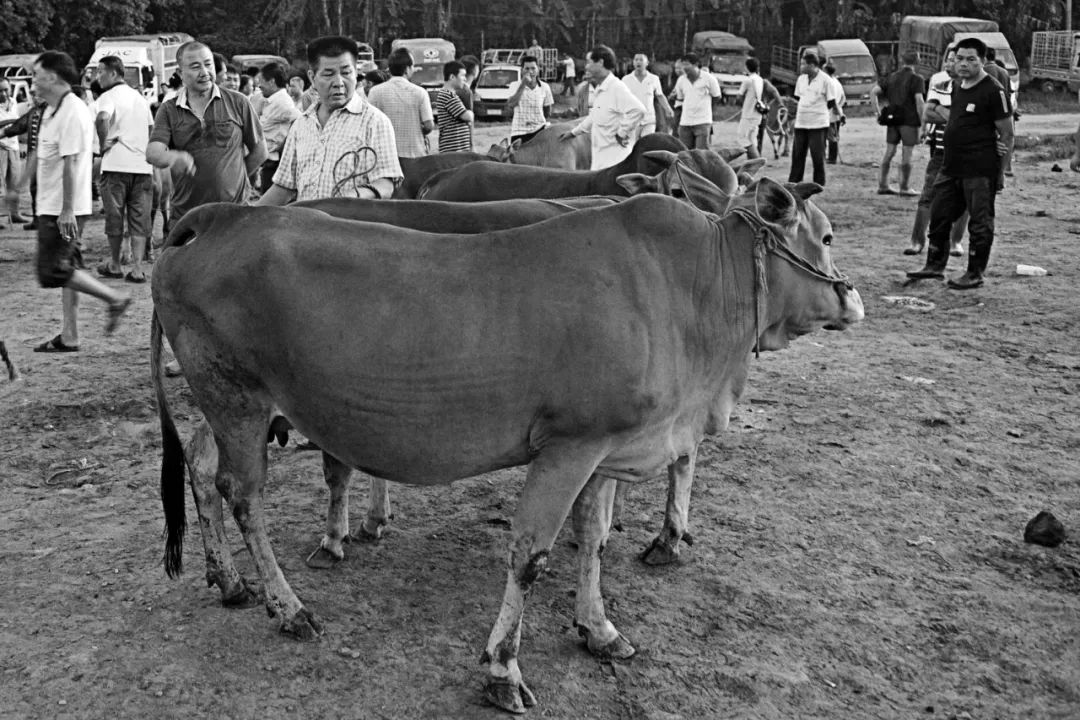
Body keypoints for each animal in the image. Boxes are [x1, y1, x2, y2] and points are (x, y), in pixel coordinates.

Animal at [154, 181, 859, 716]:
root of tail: (219, 215)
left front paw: (599, 628)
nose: (852, 296)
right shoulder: (569, 447)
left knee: (203, 467)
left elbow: (594, 538)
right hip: (238, 399)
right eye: (825, 238)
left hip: (230, 406)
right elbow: (530, 556)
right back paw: (288, 606)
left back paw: (228, 580)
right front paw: (502, 669)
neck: (689, 289)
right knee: (243, 496)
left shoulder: (605, 450)